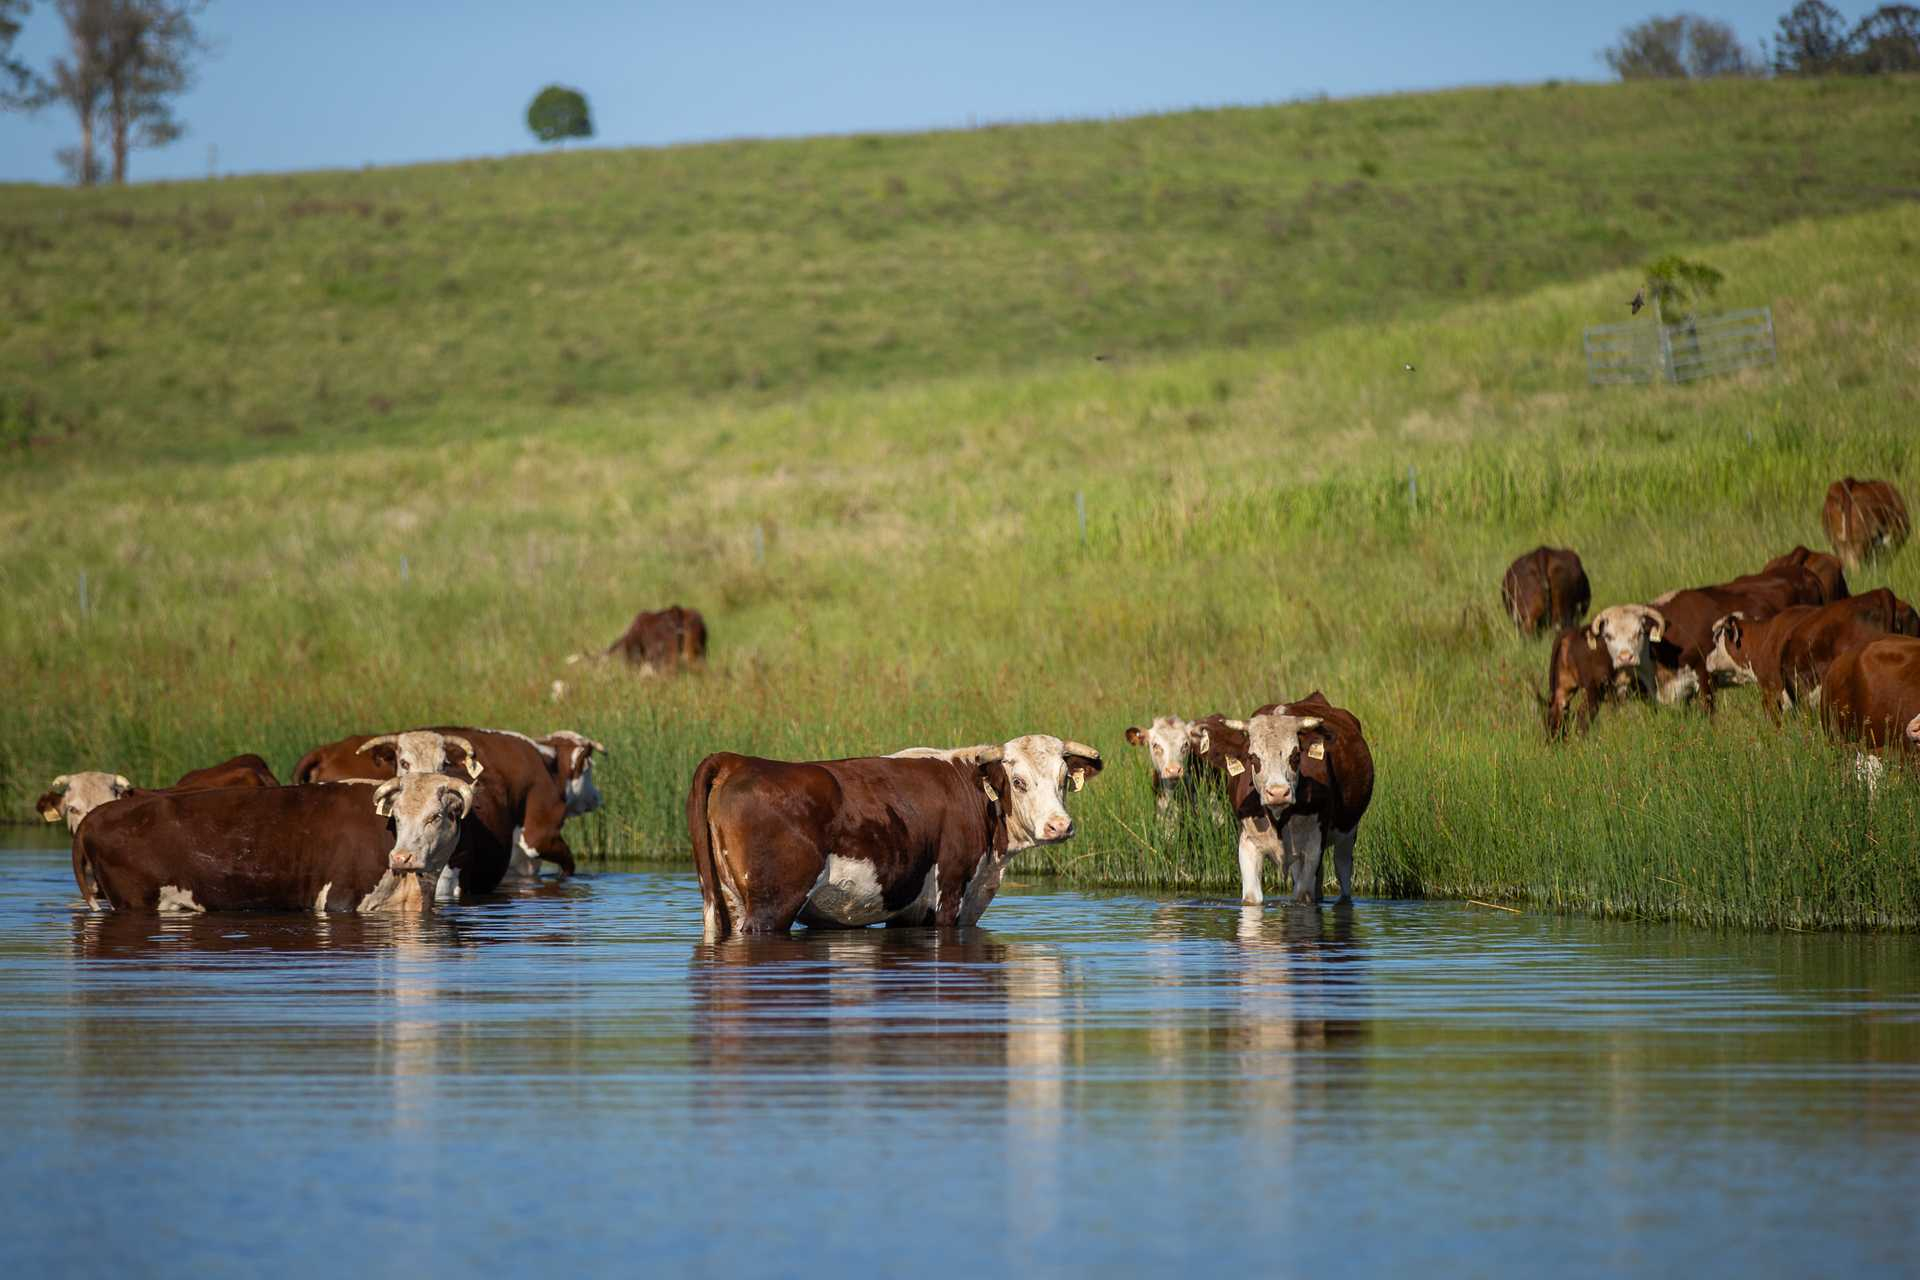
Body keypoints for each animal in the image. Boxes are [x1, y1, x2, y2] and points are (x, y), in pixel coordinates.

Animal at [70, 772, 475, 914]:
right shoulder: (340, 900)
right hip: (133, 900)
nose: (402, 856)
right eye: (398, 816)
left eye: (436, 815)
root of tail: (96, 815)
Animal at [687, 734, 1102, 940]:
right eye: (1018, 782)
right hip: (771, 906)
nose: (1059, 825)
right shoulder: (949, 896)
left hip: (724, 900)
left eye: (1064, 779)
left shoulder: (912, 911)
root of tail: (737, 760)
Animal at [1193, 693, 1374, 906]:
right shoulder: (1248, 844)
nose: (1278, 792)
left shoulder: (1313, 846)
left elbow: (1303, 895)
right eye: (1253, 758)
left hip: (1348, 833)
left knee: (1343, 869)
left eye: (1295, 756)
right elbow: (1252, 898)